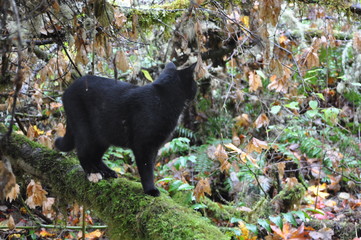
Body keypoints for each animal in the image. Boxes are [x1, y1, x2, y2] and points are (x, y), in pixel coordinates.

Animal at [54, 62, 197, 196]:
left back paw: (107, 172)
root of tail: (68, 89)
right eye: (194, 81)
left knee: (95, 155)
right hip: (85, 129)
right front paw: (150, 189)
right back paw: (93, 173)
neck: (163, 98)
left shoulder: (155, 146)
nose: (196, 88)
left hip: (103, 134)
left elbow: (151, 166)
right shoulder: (143, 145)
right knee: (83, 152)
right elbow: (147, 168)